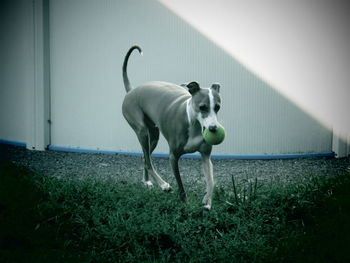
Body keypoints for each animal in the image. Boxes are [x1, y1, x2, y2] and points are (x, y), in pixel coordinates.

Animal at [123, 45, 221, 210]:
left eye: (218, 107)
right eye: (202, 107)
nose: (213, 129)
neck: (193, 124)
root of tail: (131, 90)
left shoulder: (205, 155)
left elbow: (211, 180)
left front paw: (207, 202)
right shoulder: (173, 157)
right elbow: (181, 186)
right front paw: (185, 204)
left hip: (153, 135)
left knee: (145, 157)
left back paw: (147, 181)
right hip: (142, 131)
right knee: (148, 161)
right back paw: (163, 185)